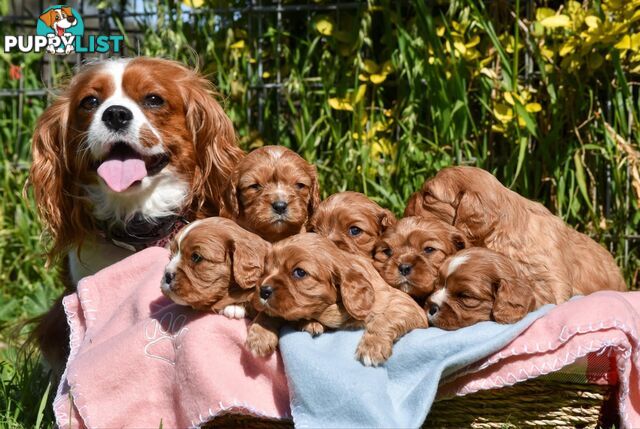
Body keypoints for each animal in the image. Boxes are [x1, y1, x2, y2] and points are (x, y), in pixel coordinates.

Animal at [248, 232, 428, 366]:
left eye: (299, 272)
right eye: (265, 270)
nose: (263, 290)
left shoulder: (404, 304)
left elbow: (384, 319)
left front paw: (372, 347)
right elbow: (268, 313)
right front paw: (259, 335)